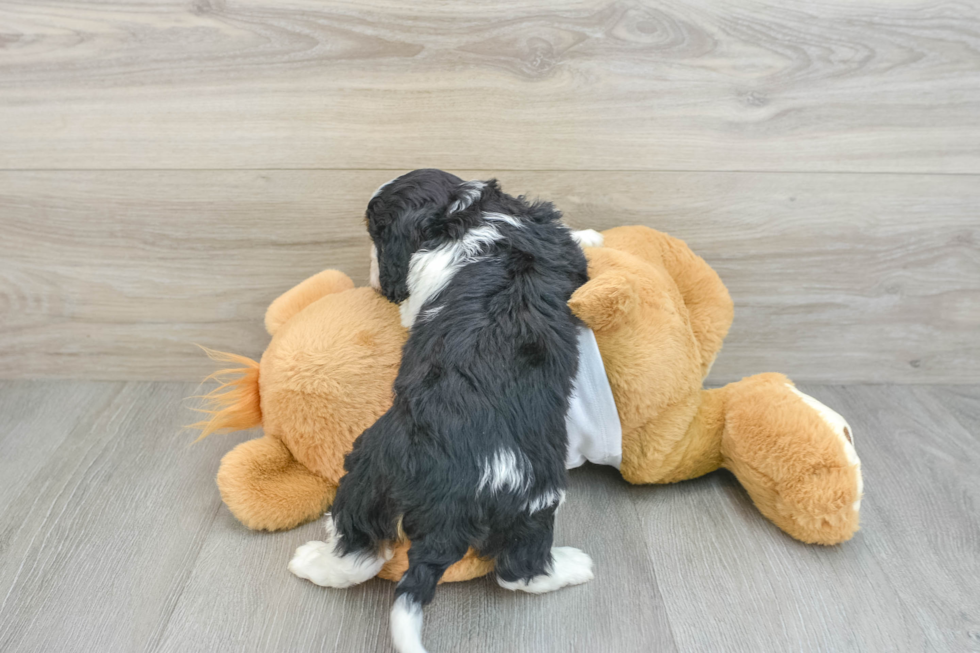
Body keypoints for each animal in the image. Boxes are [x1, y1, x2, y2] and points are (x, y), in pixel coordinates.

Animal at [288, 169, 600, 652]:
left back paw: (314, 560)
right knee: (519, 571)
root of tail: (452, 499)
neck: (458, 214)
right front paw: (593, 235)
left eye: (374, 233)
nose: (373, 274)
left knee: (363, 551)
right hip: (533, 494)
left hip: (371, 468)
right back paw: (572, 567)